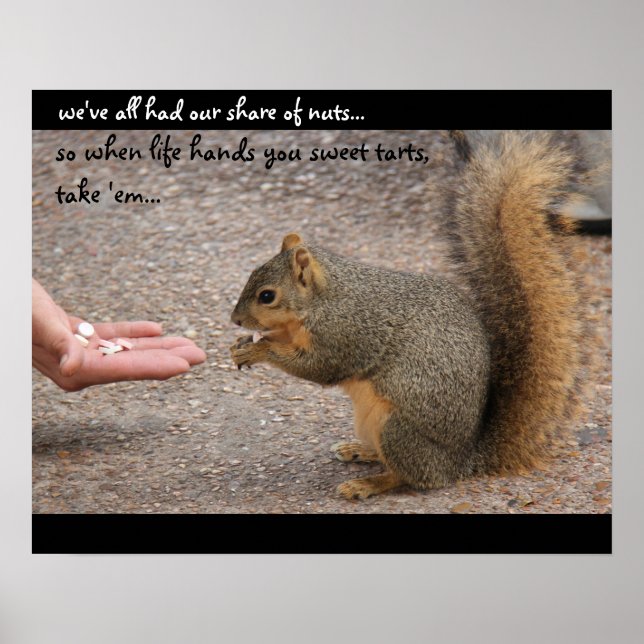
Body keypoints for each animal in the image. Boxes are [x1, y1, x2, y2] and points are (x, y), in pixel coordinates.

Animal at [230, 130, 591, 500]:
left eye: (267, 296)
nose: (236, 320)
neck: (324, 299)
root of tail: (461, 462)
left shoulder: (346, 334)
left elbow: (319, 367)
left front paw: (258, 350)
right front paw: (244, 343)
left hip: (398, 430)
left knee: (411, 476)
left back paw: (368, 483)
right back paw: (359, 451)